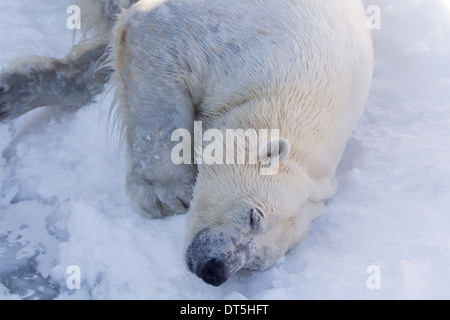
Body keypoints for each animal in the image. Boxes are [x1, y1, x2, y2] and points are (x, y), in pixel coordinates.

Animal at [0, 0, 372, 284]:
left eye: (260, 262)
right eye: (254, 215)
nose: (216, 270)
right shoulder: (240, 36)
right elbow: (152, 43)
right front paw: (166, 194)